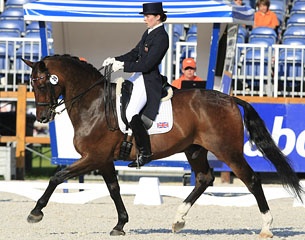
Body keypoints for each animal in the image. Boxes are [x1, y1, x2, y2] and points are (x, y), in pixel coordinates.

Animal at [23, 54, 302, 238]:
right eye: (32, 83)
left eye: (42, 83)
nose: (42, 117)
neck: (94, 104)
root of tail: (231, 99)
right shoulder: (103, 159)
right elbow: (113, 189)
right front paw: (120, 224)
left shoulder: (93, 157)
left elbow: (57, 177)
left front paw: (35, 213)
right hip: (195, 149)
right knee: (204, 178)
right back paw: (178, 220)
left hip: (227, 151)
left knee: (251, 179)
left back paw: (266, 227)